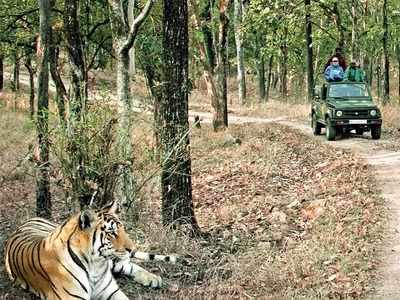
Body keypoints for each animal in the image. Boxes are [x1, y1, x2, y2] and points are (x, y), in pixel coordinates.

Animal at [4, 202, 177, 300]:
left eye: (122, 228)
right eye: (111, 232)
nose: (132, 248)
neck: (96, 265)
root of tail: (31, 219)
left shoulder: (112, 291)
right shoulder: (73, 298)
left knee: (128, 264)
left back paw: (153, 278)